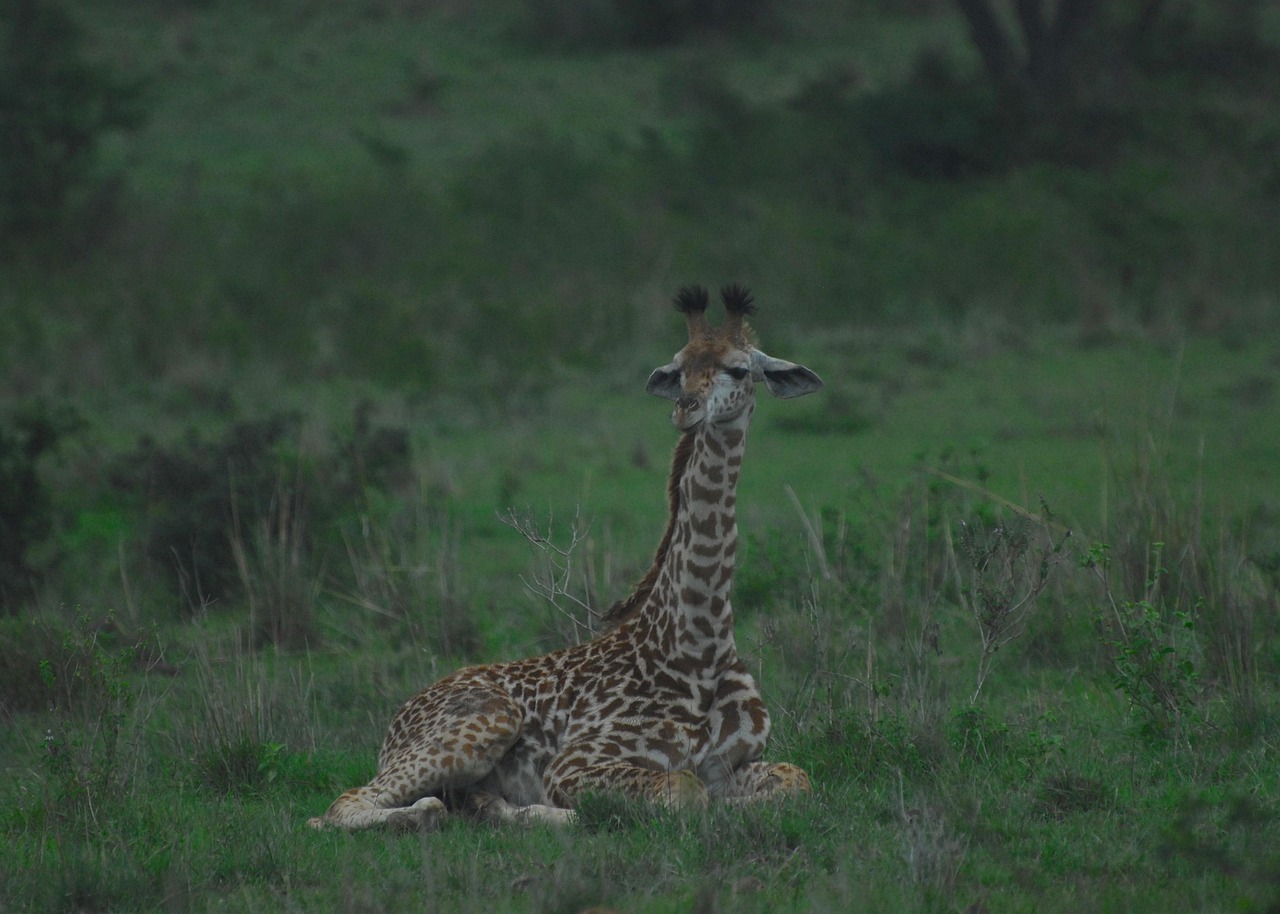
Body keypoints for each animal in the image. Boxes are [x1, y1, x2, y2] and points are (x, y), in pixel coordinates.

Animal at [308, 283, 823, 831]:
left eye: (739, 369)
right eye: (679, 366)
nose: (687, 409)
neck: (698, 648)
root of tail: (398, 718)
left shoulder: (736, 762)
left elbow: (796, 781)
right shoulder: (576, 763)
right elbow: (684, 791)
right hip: (486, 721)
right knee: (339, 807)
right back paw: (450, 812)